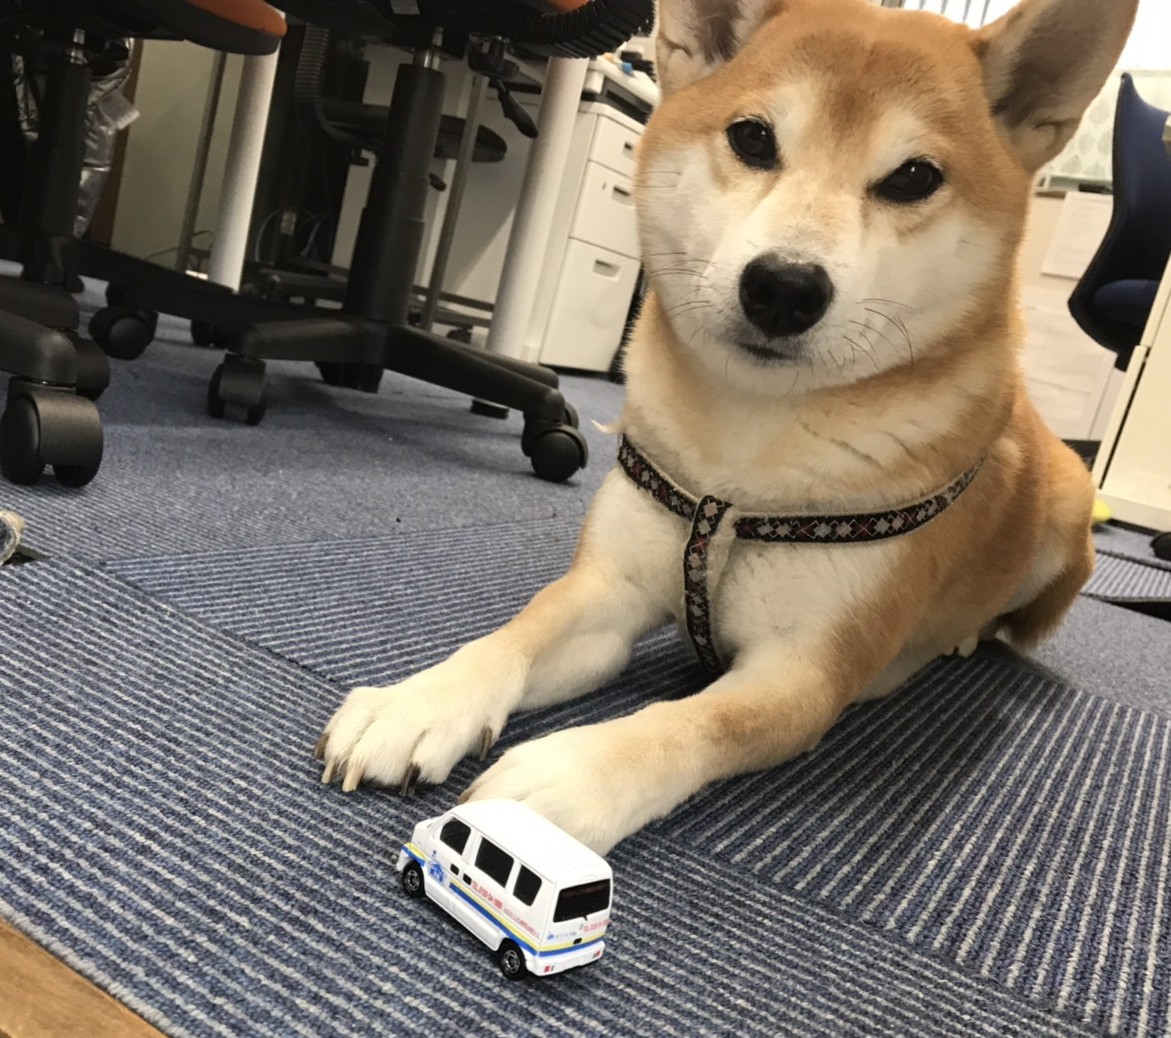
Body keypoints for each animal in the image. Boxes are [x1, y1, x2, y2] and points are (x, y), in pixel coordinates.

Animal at [316, 0, 1138, 852]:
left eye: (914, 177)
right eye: (752, 138)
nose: (784, 286)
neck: (739, 463)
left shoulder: (802, 676)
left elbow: (688, 725)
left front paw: (569, 776)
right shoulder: (608, 591)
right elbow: (519, 631)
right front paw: (420, 701)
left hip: (1059, 531)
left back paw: (964, 632)